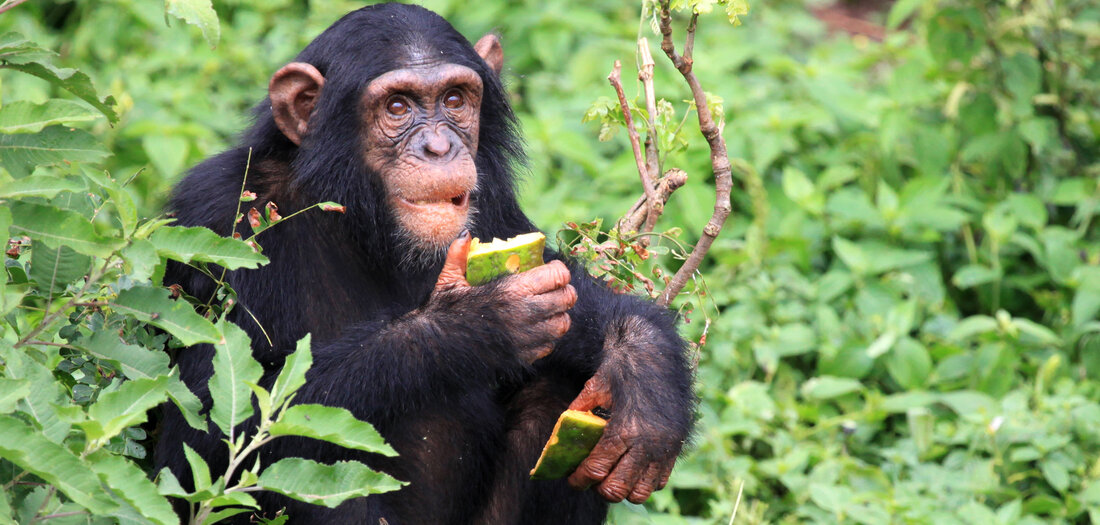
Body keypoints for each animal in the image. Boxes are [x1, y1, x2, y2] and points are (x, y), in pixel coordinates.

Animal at [157, 5, 686, 523]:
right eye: (397, 107)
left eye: (454, 100)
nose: (439, 148)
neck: (358, 216)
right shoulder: (218, 216)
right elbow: (208, 435)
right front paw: (472, 325)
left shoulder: (493, 202)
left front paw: (645, 369)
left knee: (560, 386)